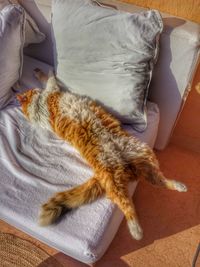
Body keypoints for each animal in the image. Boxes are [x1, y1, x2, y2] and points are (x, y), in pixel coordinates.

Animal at [17, 69, 188, 241]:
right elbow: (50, 79)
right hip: (114, 180)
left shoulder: (51, 92)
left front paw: (39, 73)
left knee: (159, 181)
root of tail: (127, 167)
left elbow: (47, 78)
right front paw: (43, 73)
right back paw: (136, 230)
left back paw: (179, 186)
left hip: (143, 154)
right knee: (126, 203)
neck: (36, 111)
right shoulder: (51, 91)